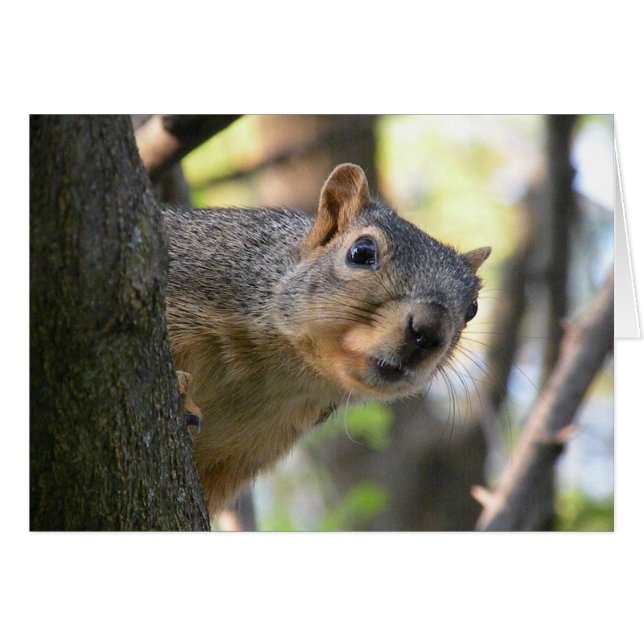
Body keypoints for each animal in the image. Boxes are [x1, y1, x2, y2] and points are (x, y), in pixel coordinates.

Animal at [164, 163, 491, 518]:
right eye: (361, 252)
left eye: (473, 308)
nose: (429, 331)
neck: (282, 372)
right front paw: (181, 388)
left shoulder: (240, 456)